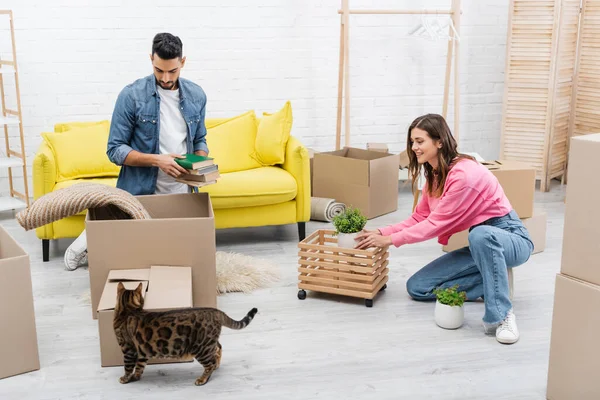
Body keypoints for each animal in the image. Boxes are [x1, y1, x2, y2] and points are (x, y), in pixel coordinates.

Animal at [113, 282, 256, 384]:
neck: (128, 310)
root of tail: (216, 311)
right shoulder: (142, 349)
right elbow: (140, 366)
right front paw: (136, 377)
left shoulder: (128, 349)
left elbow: (128, 367)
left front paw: (125, 378)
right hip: (209, 343)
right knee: (218, 349)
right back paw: (217, 364)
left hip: (200, 348)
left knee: (209, 364)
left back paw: (203, 379)